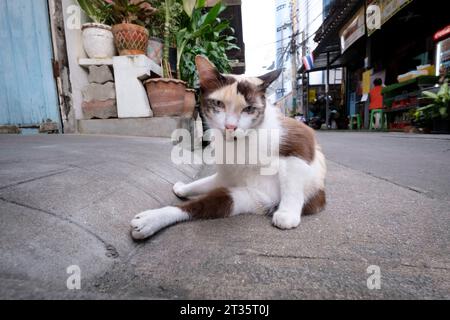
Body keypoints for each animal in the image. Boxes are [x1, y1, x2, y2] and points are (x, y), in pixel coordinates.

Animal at [130, 55, 326, 240]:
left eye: (249, 109)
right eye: (218, 104)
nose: (230, 126)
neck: (241, 142)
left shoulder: (299, 138)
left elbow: (292, 179)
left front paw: (287, 214)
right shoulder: (231, 177)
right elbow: (206, 187)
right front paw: (183, 190)